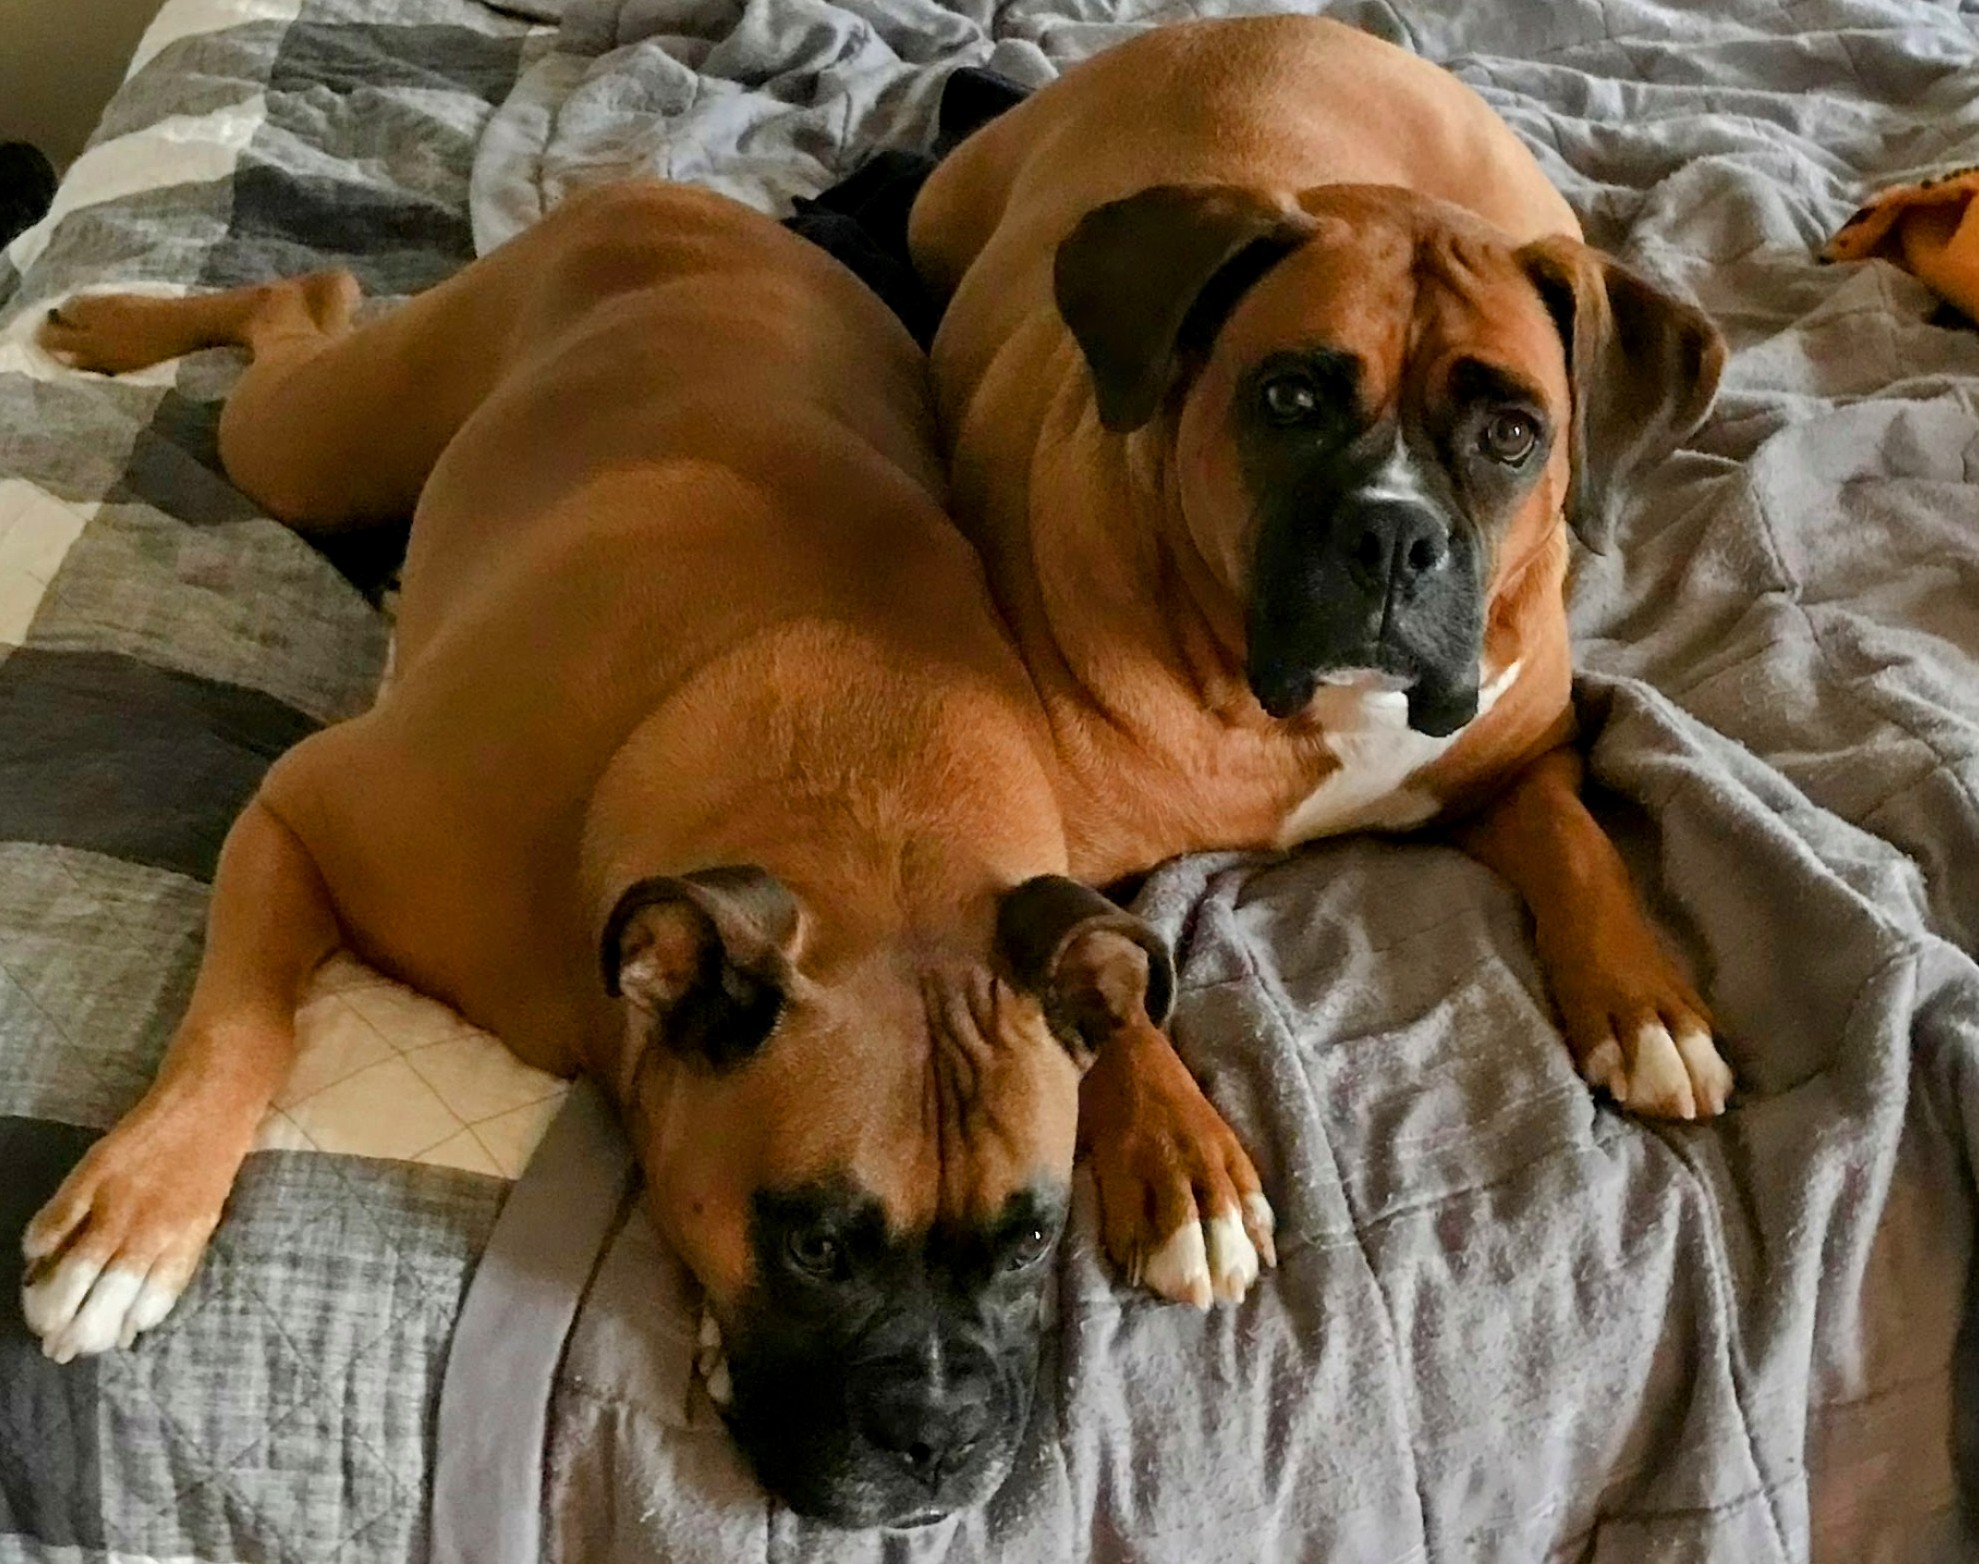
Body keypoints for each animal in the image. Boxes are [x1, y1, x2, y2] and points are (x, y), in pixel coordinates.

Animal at [15, 181, 1266, 1528]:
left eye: (1032, 1240)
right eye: (814, 1245)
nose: (940, 1435)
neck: (862, 784)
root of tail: (684, 195)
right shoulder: (299, 810)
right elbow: (241, 1023)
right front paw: (136, 1217)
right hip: (318, 441)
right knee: (302, 302)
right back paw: (111, 324)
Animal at [906, 18, 1741, 1195]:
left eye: (1512, 435)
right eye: (1289, 398)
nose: (1392, 534)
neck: (1322, 710)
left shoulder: (1525, 763)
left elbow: (1582, 846)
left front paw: (1648, 1010)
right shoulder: (1041, 872)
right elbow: (1103, 993)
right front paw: (1178, 1164)